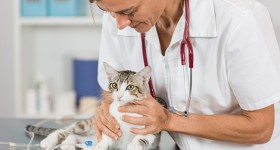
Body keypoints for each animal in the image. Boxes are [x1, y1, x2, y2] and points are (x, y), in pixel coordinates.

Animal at [25, 61, 161, 149]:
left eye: (130, 87)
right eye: (114, 85)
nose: (119, 96)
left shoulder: (152, 126)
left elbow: (143, 136)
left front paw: (134, 145)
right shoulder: (109, 124)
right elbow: (107, 137)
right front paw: (101, 146)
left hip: (92, 136)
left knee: (75, 136)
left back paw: (68, 145)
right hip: (88, 125)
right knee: (65, 130)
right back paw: (50, 141)